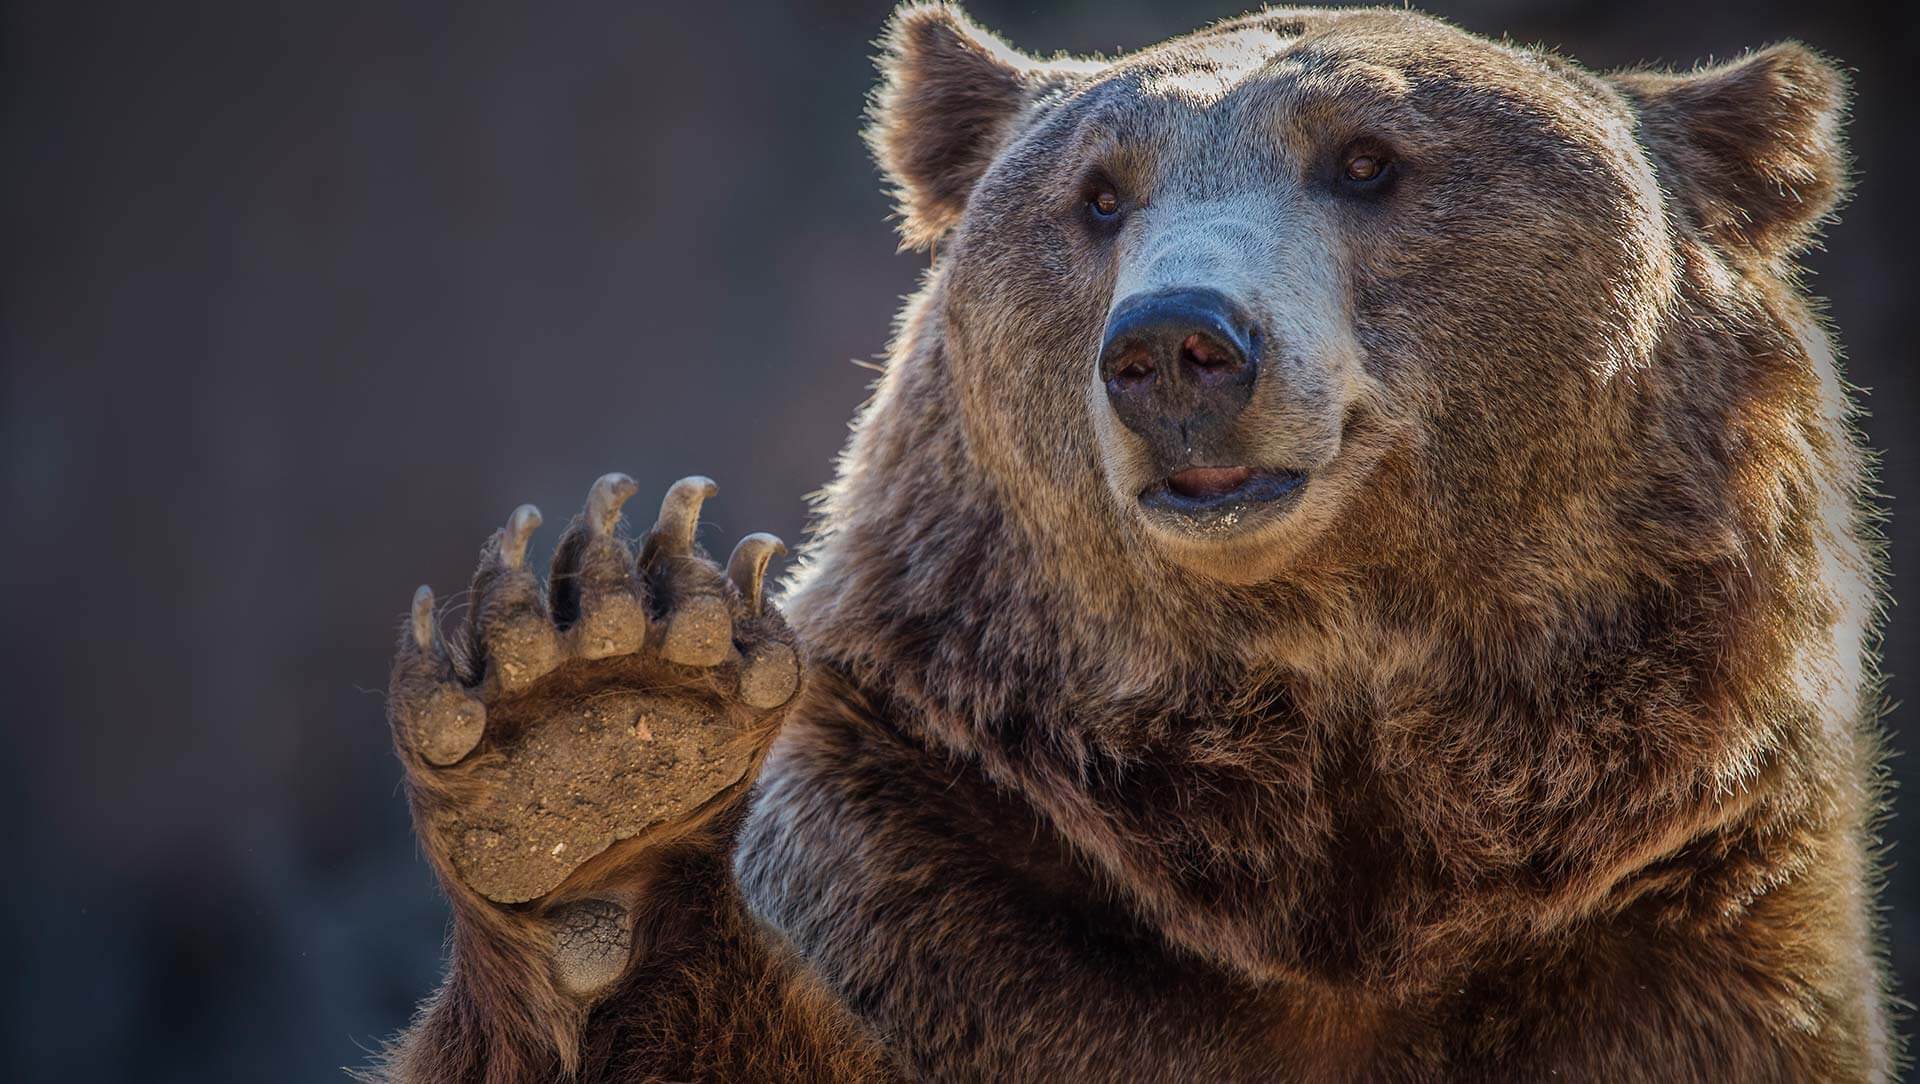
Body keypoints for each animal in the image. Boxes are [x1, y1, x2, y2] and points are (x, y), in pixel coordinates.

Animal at [370, 4, 1889, 1074]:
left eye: (1368, 159)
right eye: (1101, 194)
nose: (1175, 345)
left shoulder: (1670, 937)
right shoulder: (942, 882)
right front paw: (594, 745)